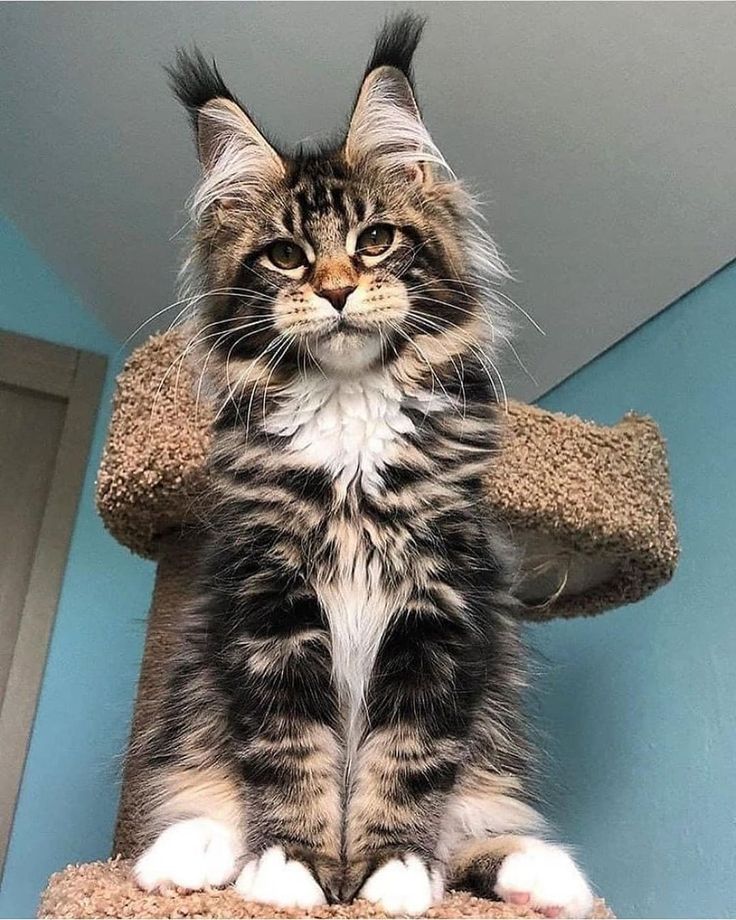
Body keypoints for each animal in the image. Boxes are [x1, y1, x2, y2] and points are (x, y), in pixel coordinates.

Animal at [131, 16, 592, 920]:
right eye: (284, 255)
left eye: (375, 241)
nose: (338, 291)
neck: (349, 419)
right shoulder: (267, 606)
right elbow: (291, 755)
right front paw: (295, 869)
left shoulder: (441, 612)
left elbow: (405, 763)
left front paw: (387, 874)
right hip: (195, 695)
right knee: (208, 790)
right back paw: (187, 856)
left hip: (492, 726)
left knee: (471, 825)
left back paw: (542, 875)